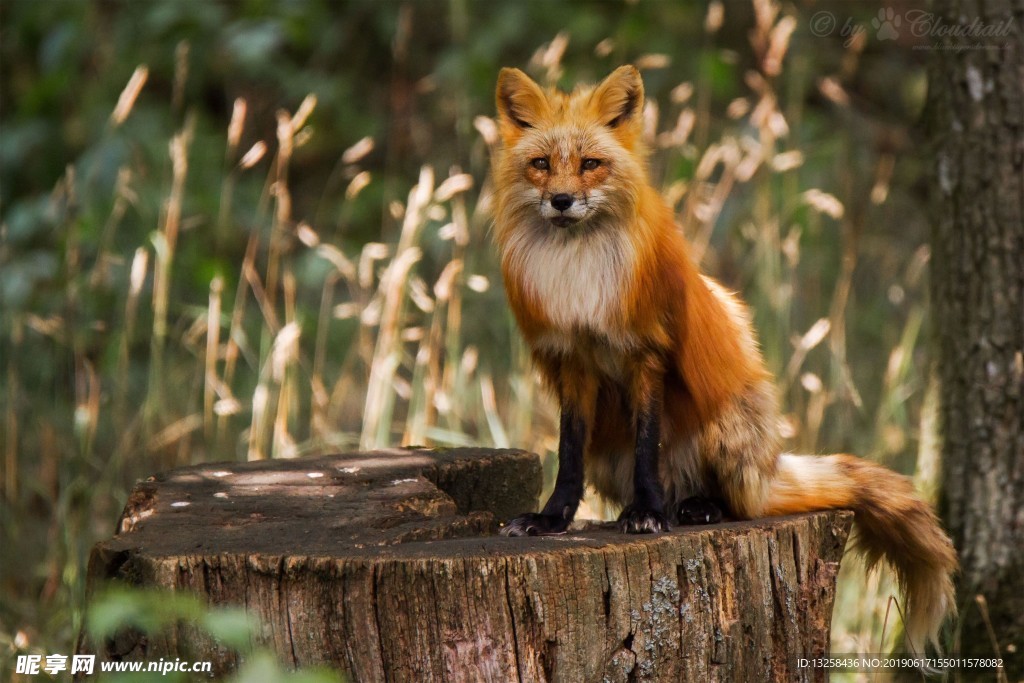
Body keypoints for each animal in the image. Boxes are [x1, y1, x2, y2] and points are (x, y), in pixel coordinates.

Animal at [491, 65, 954, 655]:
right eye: (542, 164)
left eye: (592, 163)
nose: (562, 201)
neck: (579, 272)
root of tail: (770, 465)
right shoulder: (573, 363)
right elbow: (568, 455)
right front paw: (552, 519)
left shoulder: (646, 353)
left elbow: (647, 447)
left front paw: (646, 515)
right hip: (609, 455)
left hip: (728, 432)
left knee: (737, 503)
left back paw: (695, 507)